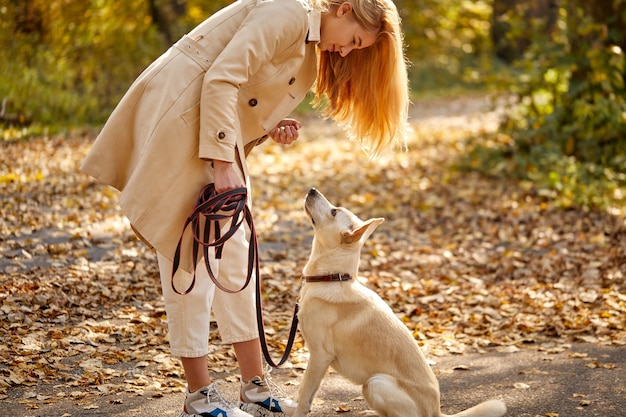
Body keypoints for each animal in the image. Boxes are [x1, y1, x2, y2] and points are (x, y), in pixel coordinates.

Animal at [294, 188, 508, 416]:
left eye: (334, 211)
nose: (312, 190)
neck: (332, 278)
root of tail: (436, 411)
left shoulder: (319, 356)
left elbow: (304, 395)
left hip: (375, 382)